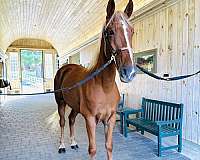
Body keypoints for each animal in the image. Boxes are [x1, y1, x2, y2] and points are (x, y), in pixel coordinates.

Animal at [54, 0, 136, 159]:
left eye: (132, 31)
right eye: (110, 31)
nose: (129, 72)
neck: (104, 86)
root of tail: (65, 68)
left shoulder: (110, 119)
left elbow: (109, 146)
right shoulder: (90, 119)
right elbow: (92, 149)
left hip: (75, 107)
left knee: (71, 120)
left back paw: (73, 143)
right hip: (61, 103)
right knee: (62, 122)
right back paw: (62, 146)